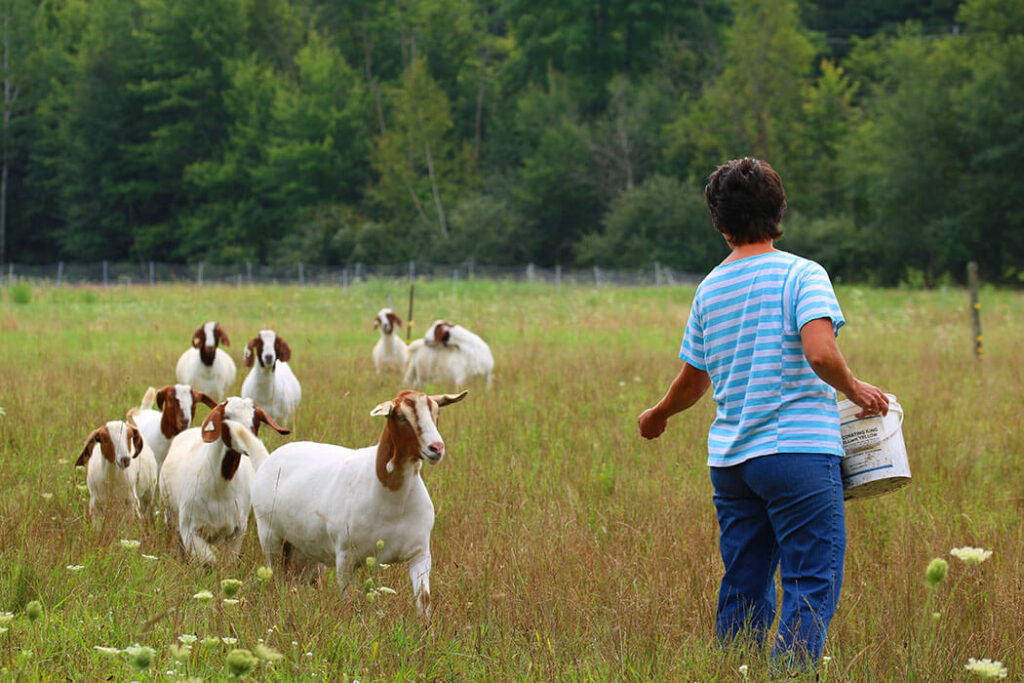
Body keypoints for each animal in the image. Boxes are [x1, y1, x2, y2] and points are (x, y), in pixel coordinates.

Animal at [251, 389, 468, 618]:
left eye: (436, 412)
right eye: (402, 417)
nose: (436, 448)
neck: (392, 500)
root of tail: (269, 459)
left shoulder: (420, 553)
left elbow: (424, 600)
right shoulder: (345, 558)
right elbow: (349, 602)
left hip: (304, 551)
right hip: (270, 537)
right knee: (275, 575)